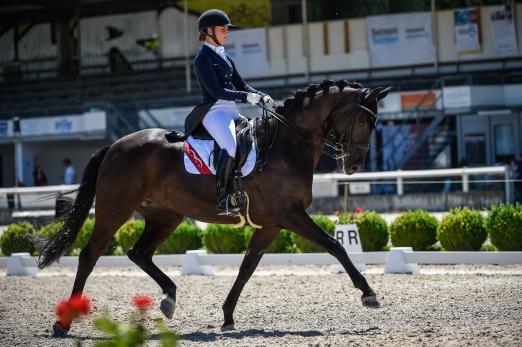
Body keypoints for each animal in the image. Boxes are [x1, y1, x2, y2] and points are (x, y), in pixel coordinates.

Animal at [34, 79, 388, 338]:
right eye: (364, 120)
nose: (355, 166)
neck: (287, 145)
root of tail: (115, 145)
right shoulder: (291, 215)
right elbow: (335, 246)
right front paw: (368, 293)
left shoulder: (272, 223)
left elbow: (247, 267)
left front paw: (228, 316)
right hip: (115, 209)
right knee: (89, 255)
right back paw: (64, 323)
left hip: (166, 216)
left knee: (139, 253)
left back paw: (169, 298)